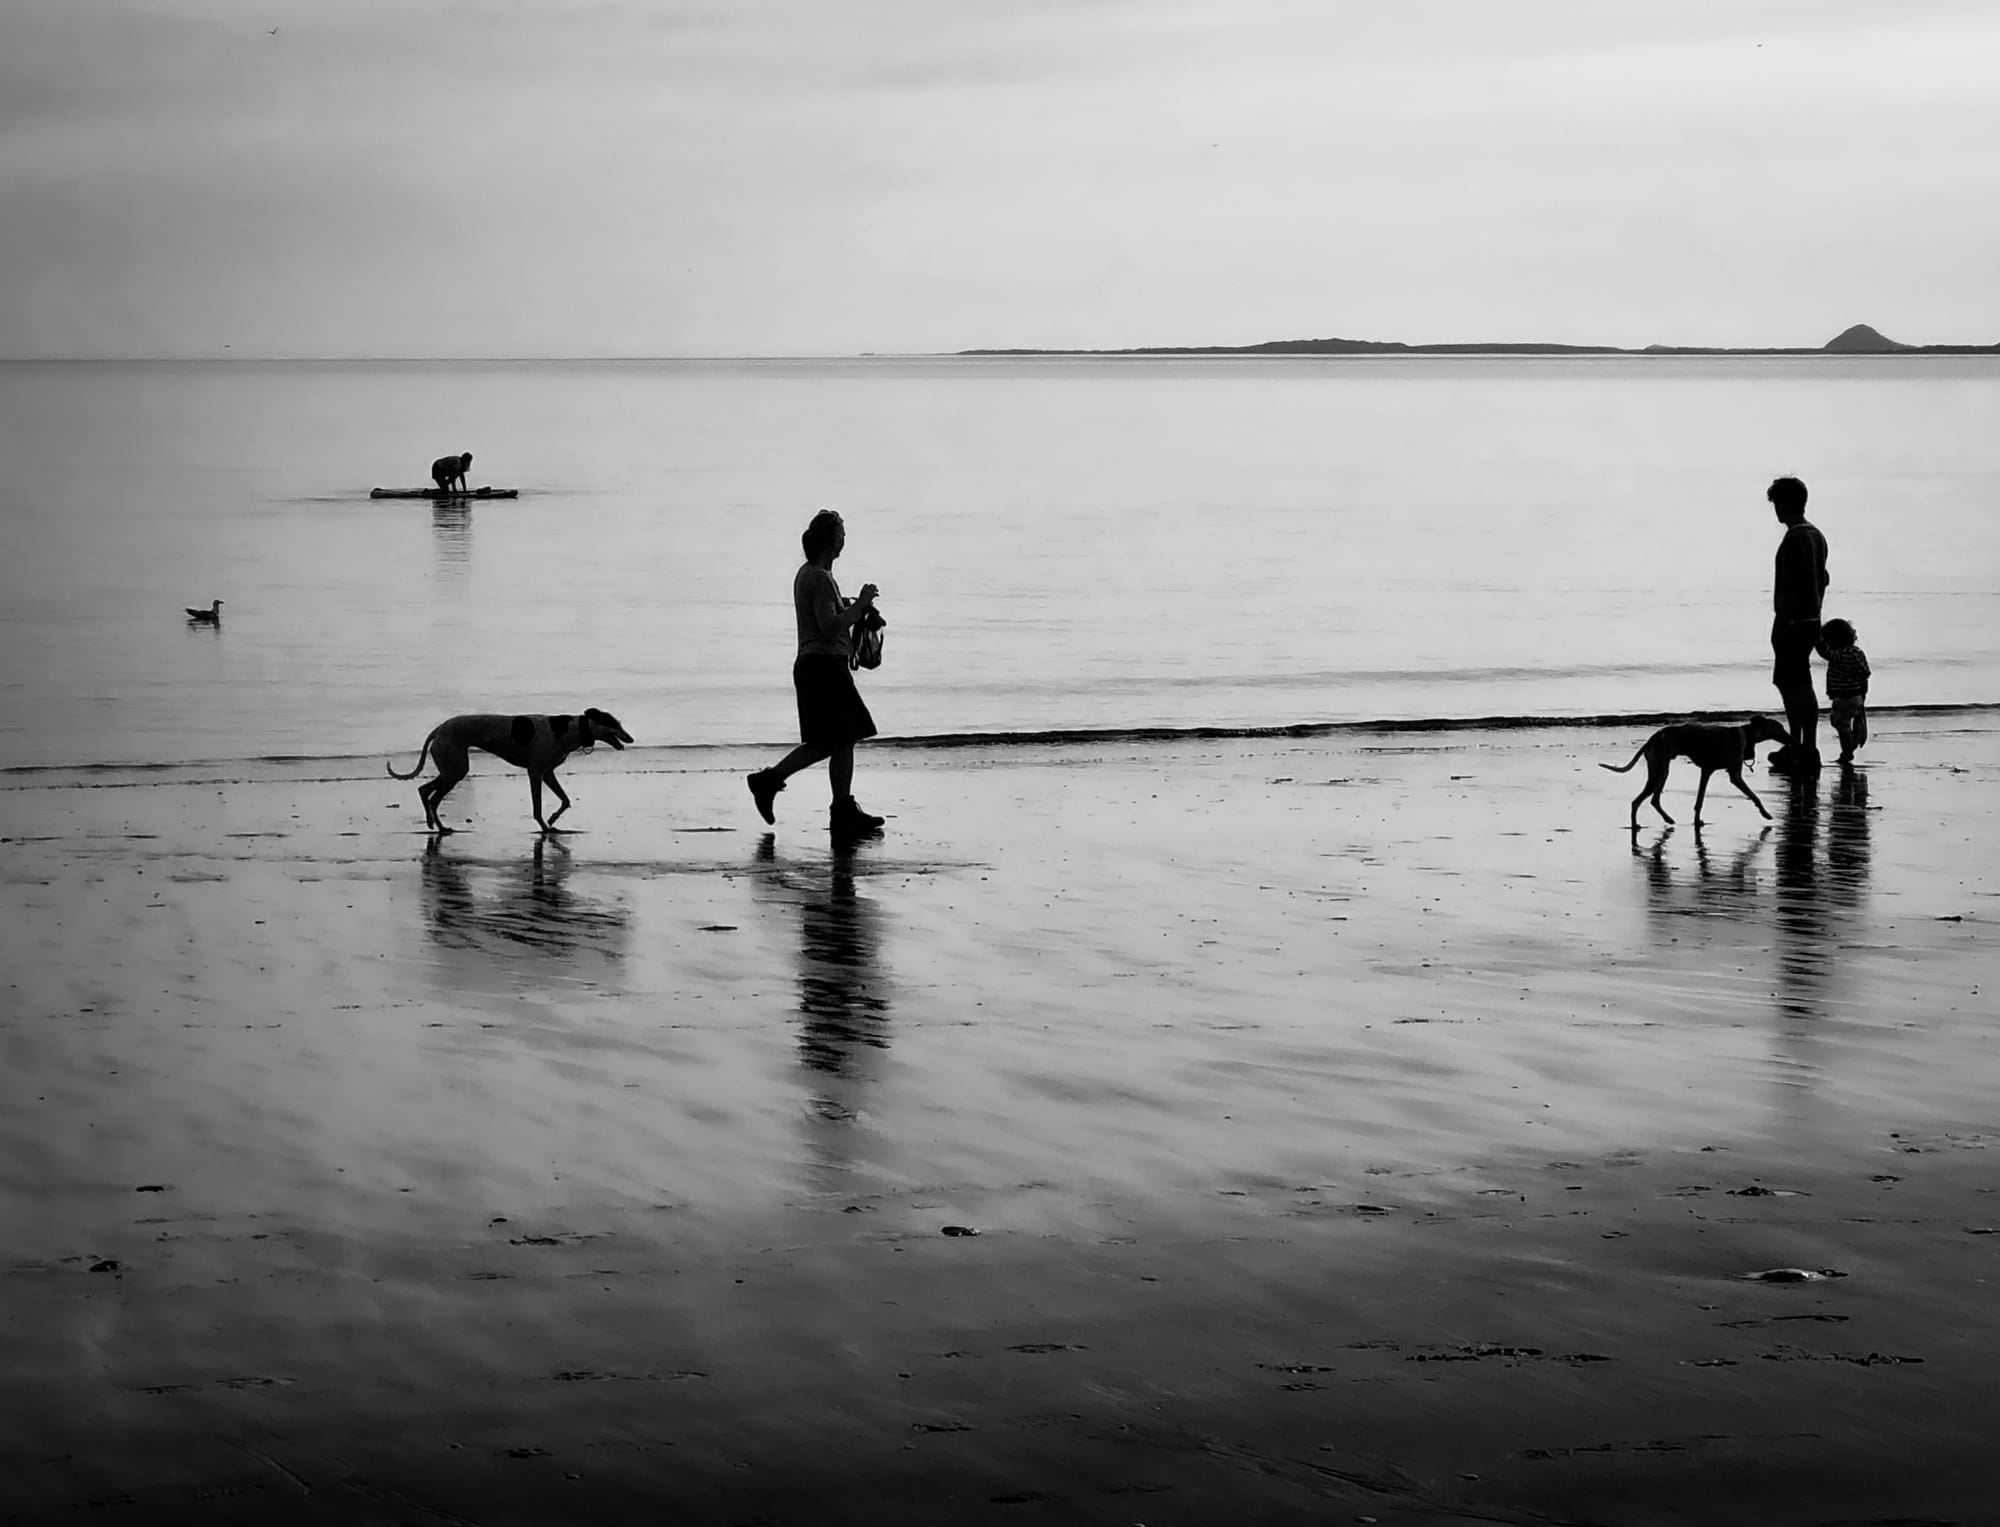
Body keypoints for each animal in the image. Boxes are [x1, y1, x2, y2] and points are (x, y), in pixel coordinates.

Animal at [390, 707, 632, 827]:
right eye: (613, 723)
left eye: (619, 723)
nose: (631, 738)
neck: (568, 729)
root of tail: (438, 729)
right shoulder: (535, 773)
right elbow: (537, 808)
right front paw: (545, 826)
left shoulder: (547, 773)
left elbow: (565, 800)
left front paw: (553, 820)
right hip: (455, 768)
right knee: (430, 796)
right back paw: (439, 826)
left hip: (452, 769)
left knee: (425, 791)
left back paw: (434, 824)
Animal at [1600, 711, 1792, 823]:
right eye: (1779, 727)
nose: (1792, 739)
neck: (1746, 734)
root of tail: (1655, 736)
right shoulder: (1735, 776)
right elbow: (1755, 796)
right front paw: (1766, 814)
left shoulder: (1706, 772)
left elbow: (1699, 801)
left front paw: (1698, 821)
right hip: (1660, 771)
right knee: (1644, 801)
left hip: (1660, 771)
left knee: (1645, 801)